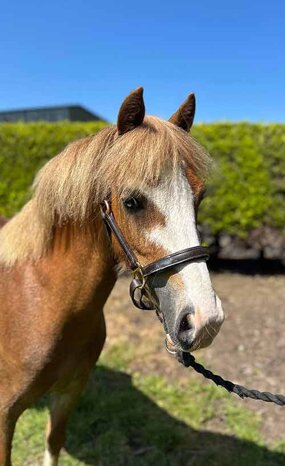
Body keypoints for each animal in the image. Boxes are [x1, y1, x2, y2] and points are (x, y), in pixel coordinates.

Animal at [0, 88, 223, 466]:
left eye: (199, 197)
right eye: (132, 202)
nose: (206, 320)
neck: (41, 299)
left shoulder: (69, 393)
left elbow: (53, 442)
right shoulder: (3, 417)